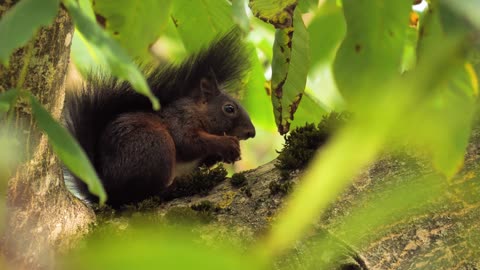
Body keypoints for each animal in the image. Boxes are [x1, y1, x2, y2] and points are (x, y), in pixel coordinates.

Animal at [66, 29, 258, 208]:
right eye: (229, 109)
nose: (251, 132)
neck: (198, 112)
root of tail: (106, 190)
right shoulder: (180, 120)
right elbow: (188, 143)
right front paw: (226, 143)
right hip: (155, 145)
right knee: (144, 194)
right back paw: (173, 189)